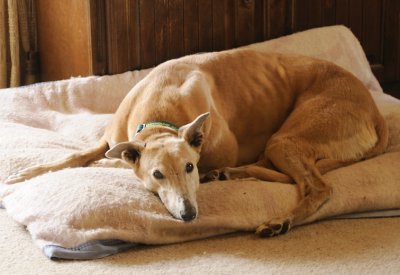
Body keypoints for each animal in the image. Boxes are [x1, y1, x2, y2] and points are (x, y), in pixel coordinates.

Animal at [6, 49, 388, 237]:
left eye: (189, 166)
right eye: (158, 175)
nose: (188, 214)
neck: (160, 114)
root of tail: (373, 109)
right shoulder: (109, 138)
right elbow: (74, 156)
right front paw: (25, 175)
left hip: (288, 138)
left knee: (317, 186)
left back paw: (278, 219)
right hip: (283, 143)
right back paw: (229, 175)